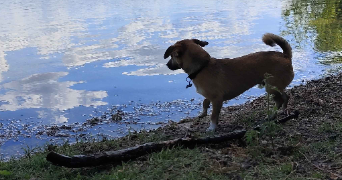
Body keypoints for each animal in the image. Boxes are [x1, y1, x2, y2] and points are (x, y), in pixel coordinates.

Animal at [164, 33, 292, 131]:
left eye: (172, 56)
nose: (167, 65)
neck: (202, 67)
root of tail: (285, 56)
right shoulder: (211, 97)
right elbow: (205, 102)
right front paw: (203, 113)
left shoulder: (217, 99)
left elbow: (213, 116)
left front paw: (212, 128)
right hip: (275, 87)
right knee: (285, 97)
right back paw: (283, 111)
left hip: (270, 87)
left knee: (279, 100)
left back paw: (272, 115)